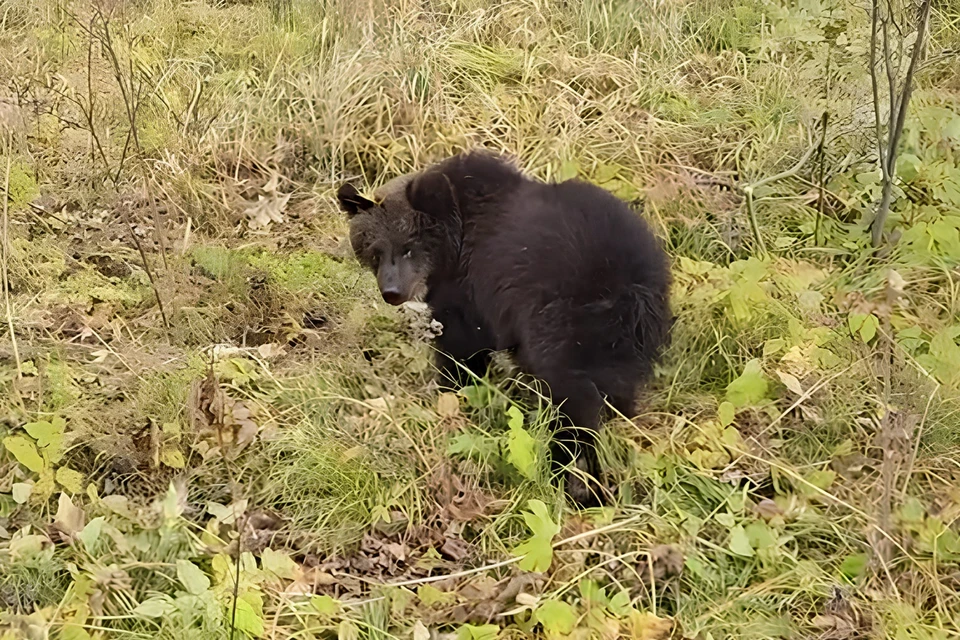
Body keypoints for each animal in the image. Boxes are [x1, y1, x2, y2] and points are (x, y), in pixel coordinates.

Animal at [336, 150, 668, 504]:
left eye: (409, 245)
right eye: (375, 250)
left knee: (571, 401)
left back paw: (571, 476)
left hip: (566, 322)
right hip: (629, 338)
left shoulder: (473, 294)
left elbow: (463, 349)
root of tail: (630, 285)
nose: (392, 291)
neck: (455, 244)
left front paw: (451, 393)